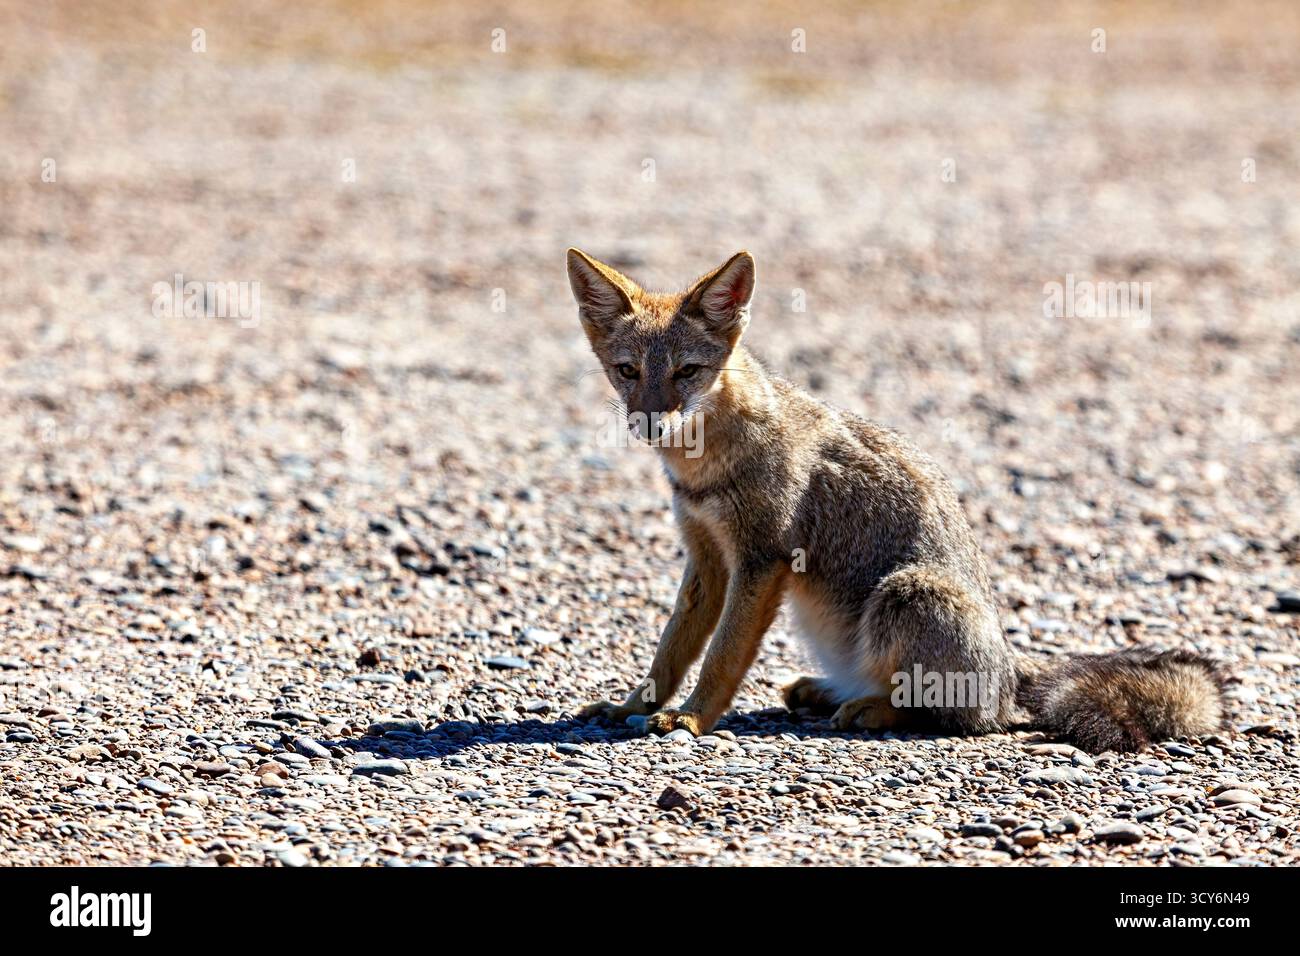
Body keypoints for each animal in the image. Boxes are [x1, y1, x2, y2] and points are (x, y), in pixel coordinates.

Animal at [566, 248, 1226, 753]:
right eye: (627, 371)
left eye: (687, 372)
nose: (651, 422)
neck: (703, 468)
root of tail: (1010, 666)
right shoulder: (706, 558)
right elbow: (673, 646)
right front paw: (632, 703)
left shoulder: (760, 560)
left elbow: (722, 654)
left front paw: (694, 717)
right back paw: (831, 692)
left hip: (904, 593)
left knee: (969, 720)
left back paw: (873, 708)